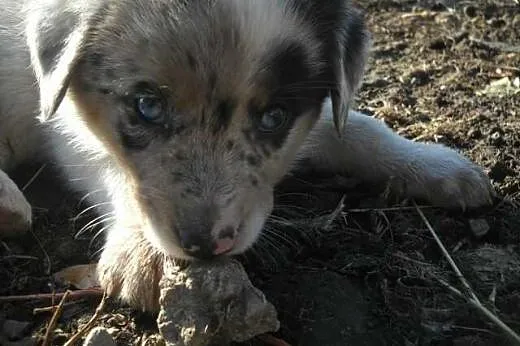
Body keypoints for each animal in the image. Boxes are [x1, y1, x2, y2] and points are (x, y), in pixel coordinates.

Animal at [1, 0, 496, 312]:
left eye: (274, 117)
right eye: (147, 106)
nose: (207, 247)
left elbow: (354, 127)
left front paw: (438, 166)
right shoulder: (62, 121)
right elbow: (112, 163)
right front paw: (145, 250)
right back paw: (10, 203)